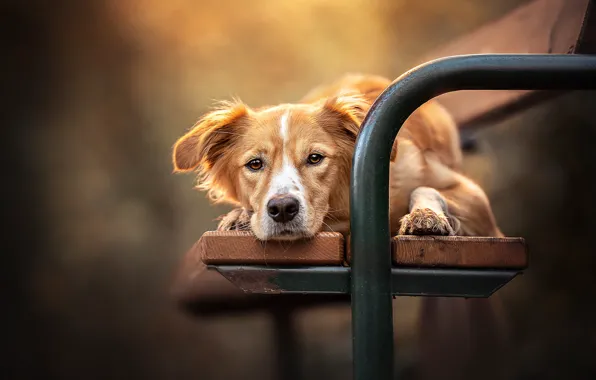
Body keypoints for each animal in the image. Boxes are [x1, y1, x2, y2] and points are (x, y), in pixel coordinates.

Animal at [171, 72, 502, 242]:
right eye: (255, 164)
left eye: (315, 158)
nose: (282, 209)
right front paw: (239, 216)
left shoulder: (479, 204)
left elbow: (425, 188)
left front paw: (426, 216)